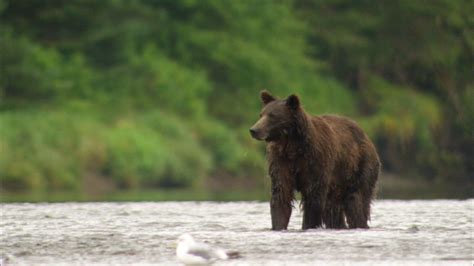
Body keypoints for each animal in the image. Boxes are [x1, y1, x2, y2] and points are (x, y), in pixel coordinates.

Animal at [250, 90, 380, 230]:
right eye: (261, 114)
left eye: (272, 115)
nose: (254, 130)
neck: (292, 146)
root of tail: (367, 136)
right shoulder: (281, 161)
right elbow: (281, 194)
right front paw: (278, 225)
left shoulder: (315, 161)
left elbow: (313, 199)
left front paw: (308, 225)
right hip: (337, 183)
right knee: (333, 209)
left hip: (359, 166)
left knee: (356, 202)